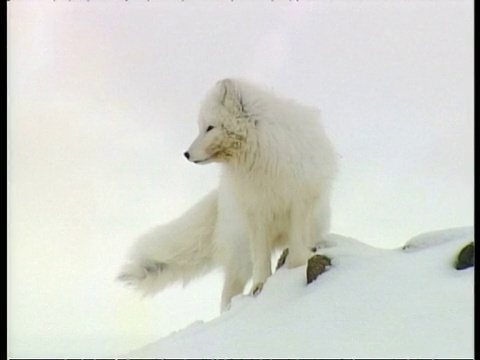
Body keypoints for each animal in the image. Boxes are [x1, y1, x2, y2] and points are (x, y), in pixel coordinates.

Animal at [117, 79, 338, 312]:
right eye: (201, 127)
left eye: (210, 127)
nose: (186, 154)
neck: (260, 158)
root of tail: (220, 198)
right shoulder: (256, 211)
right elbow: (261, 257)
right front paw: (260, 285)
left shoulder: (299, 200)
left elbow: (297, 245)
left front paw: (297, 266)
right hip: (241, 254)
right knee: (228, 293)